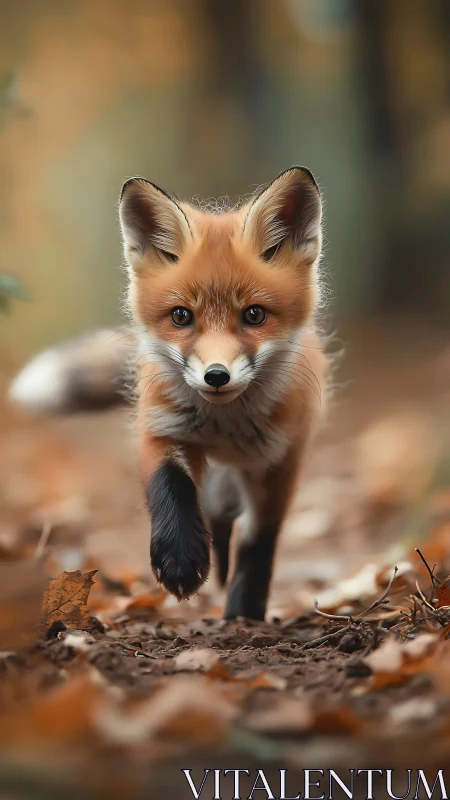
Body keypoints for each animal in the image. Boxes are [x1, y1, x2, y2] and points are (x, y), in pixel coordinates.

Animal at [10, 166, 328, 620]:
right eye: (181, 316)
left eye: (254, 315)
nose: (216, 376)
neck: (225, 427)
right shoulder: (160, 428)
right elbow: (169, 487)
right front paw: (180, 559)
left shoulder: (281, 459)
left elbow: (260, 539)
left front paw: (244, 610)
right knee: (211, 511)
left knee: (227, 520)